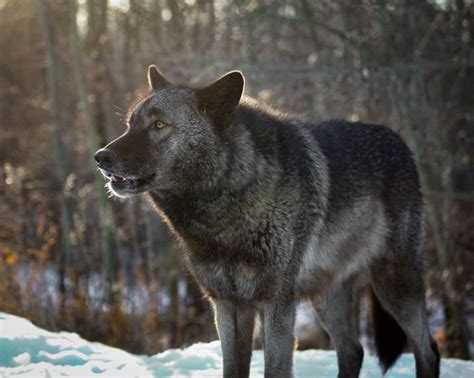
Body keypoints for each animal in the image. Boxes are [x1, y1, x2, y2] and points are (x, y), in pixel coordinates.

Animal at [94, 65, 438, 378]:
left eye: (159, 124)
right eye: (129, 124)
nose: (101, 157)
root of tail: (400, 142)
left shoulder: (277, 306)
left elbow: (275, 369)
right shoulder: (227, 305)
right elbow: (232, 370)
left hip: (395, 284)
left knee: (428, 349)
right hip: (326, 296)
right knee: (353, 351)